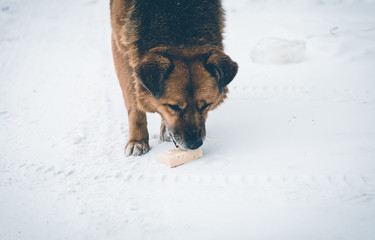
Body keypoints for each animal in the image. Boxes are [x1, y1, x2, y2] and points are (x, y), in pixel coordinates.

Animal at [110, 0, 238, 157]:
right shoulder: (120, 47)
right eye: (173, 107)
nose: (194, 144)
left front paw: (165, 128)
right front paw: (137, 140)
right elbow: (133, 101)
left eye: (206, 105)